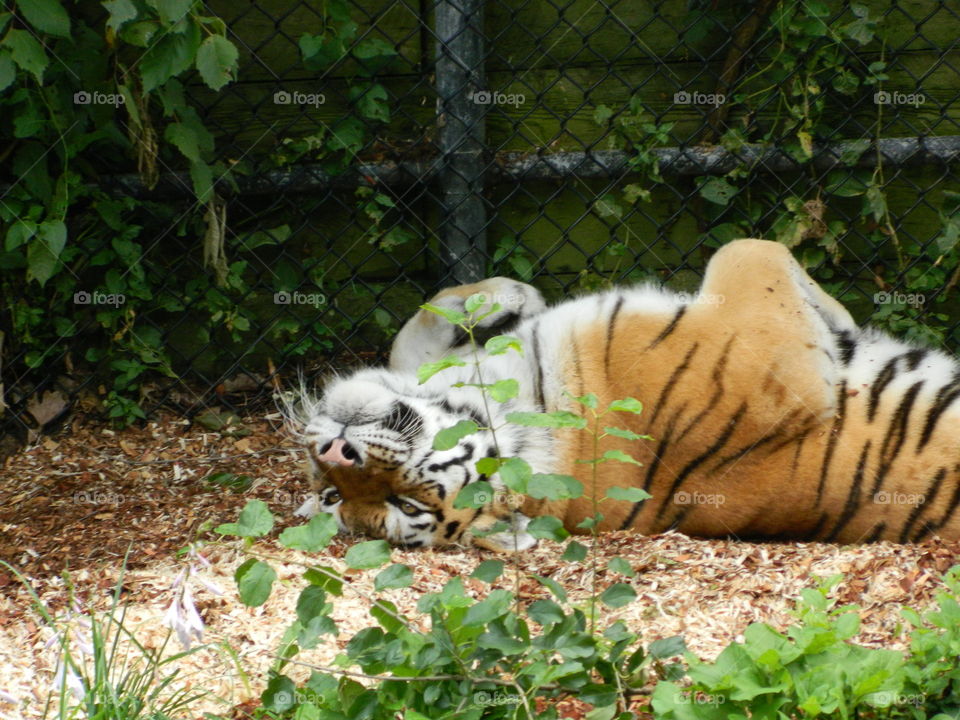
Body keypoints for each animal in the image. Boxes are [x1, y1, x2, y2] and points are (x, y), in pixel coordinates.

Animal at [285, 239, 960, 552]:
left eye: (330, 494)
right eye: (408, 505)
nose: (338, 455)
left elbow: (413, 334)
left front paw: (500, 295)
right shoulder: (773, 358)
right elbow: (748, 250)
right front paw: (842, 323)